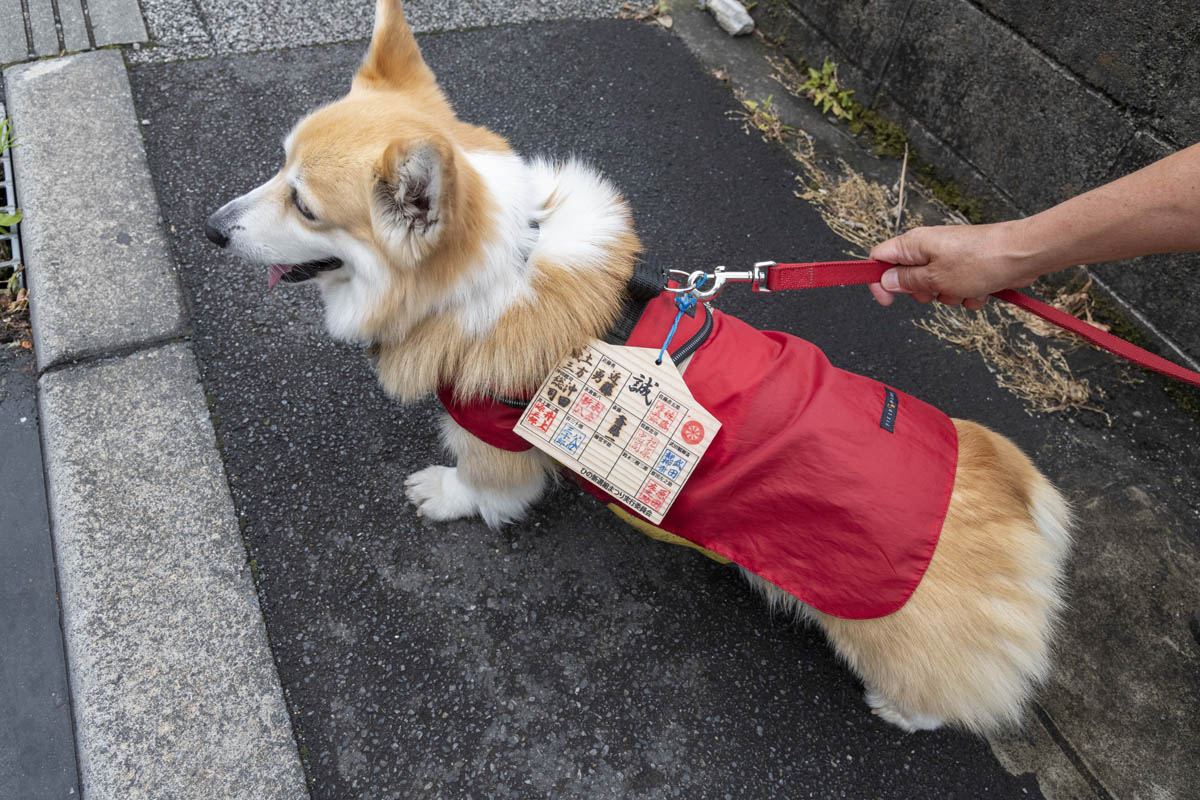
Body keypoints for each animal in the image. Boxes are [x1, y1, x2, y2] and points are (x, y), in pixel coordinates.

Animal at [201, 0, 1075, 734]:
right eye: (278, 166)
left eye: (306, 207)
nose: (210, 229)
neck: (497, 264)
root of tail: (1017, 493)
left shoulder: (497, 435)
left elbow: (486, 488)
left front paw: (442, 495)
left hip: (882, 629)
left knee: (944, 693)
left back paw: (899, 708)